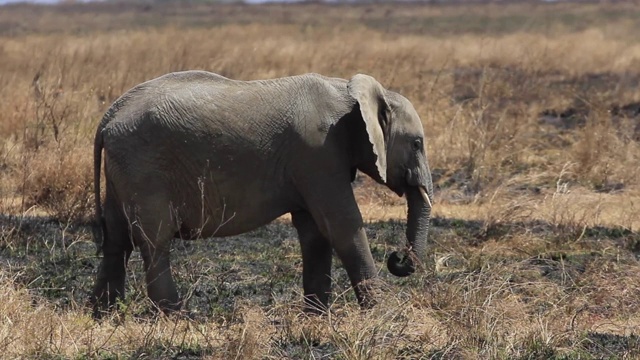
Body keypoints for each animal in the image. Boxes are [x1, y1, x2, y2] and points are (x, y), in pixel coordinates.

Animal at [90, 69, 436, 316]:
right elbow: (342, 224)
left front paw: (316, 317)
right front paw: (383, 314)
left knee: (116, 240)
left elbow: (314, 232)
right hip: (144, 167)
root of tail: (108, 117)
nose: (398, 258)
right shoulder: (318, 153)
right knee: (154, 240)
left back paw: (105, 314)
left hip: (123, 169)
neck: (350, 92)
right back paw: (175, 317)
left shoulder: (311, 162)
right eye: (417, 144)